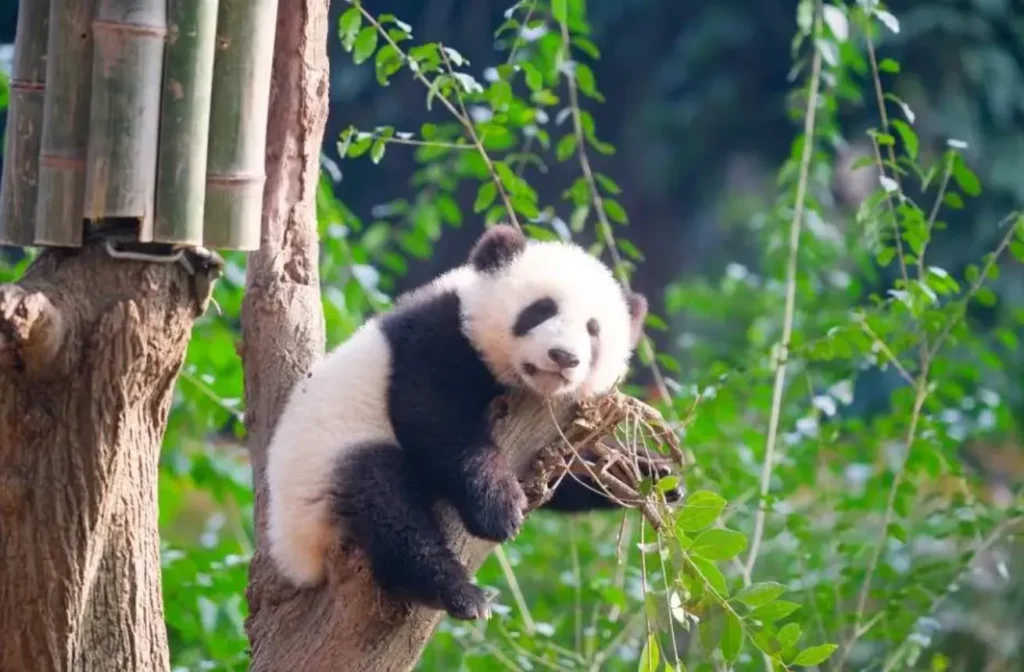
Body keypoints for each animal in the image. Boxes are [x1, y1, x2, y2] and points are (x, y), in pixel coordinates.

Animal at [265, 224, 653, 621]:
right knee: (385, 505)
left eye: (593, 330)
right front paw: (498, 509)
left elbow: (568, 476)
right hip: (322, 477)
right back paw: (457, 593)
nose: (564, 356)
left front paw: (647, 473)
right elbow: (434, 415)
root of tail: (295, 560)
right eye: (540, 310)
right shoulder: (437, 336)